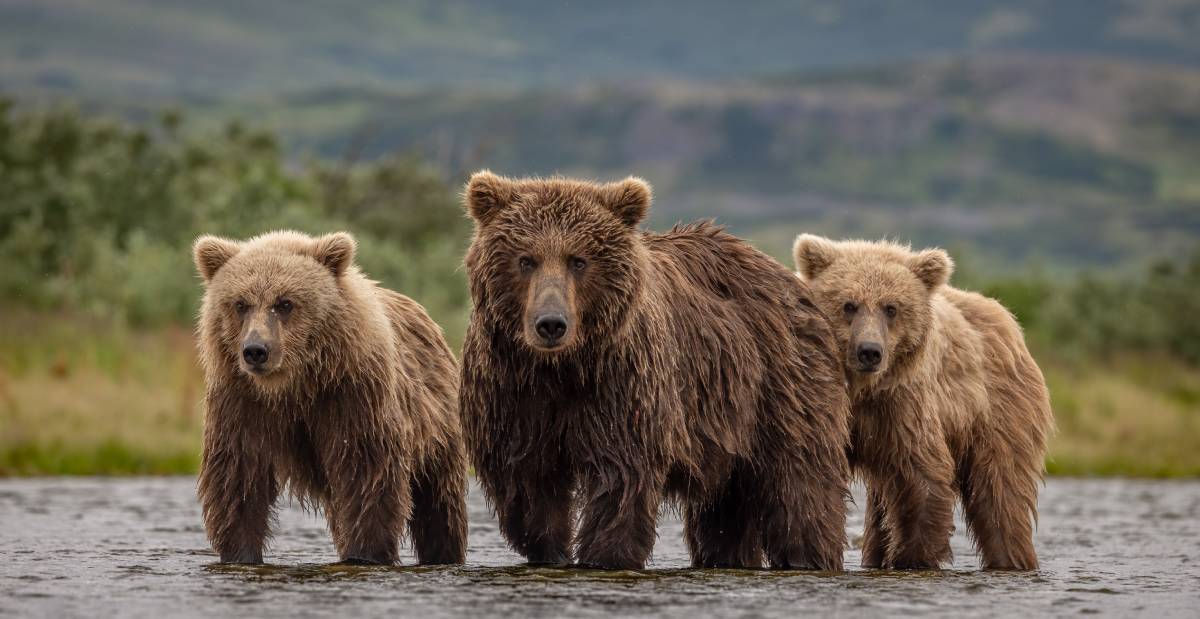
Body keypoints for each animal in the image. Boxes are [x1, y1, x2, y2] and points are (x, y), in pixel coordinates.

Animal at [190, 229, 463, 563]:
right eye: (240, 304)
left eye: (285, 303)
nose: (256, 350)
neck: (294, 385)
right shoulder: (242, 402)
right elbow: (239, 474)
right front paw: (240, 552)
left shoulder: (351, 396)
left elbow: (366, 472)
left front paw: (365, 552)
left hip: (437, 422)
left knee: (439, 502)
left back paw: (443, 551)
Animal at [458, 171, 854, 573]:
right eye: (526, 259)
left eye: (578, 260)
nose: (551, 324)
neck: (563, 368)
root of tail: (787, 278)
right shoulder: (513, 393)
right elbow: (528, 486)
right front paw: (553, 551)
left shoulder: (622, 386)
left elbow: (620, 479)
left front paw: (605, 556)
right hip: (728, 423)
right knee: (726, 509)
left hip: (781, 385)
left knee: (800, 484)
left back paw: (809, 556)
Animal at [792, 233, 1056, 571]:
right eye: (849, 305)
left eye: (891, 308)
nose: (869, 351)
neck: (863, 390)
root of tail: (1011, 324)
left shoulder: (903, 405)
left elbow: (922, 475)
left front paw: (913, 557)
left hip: (999, 410)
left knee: (1001, 490)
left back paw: (1012, 559)